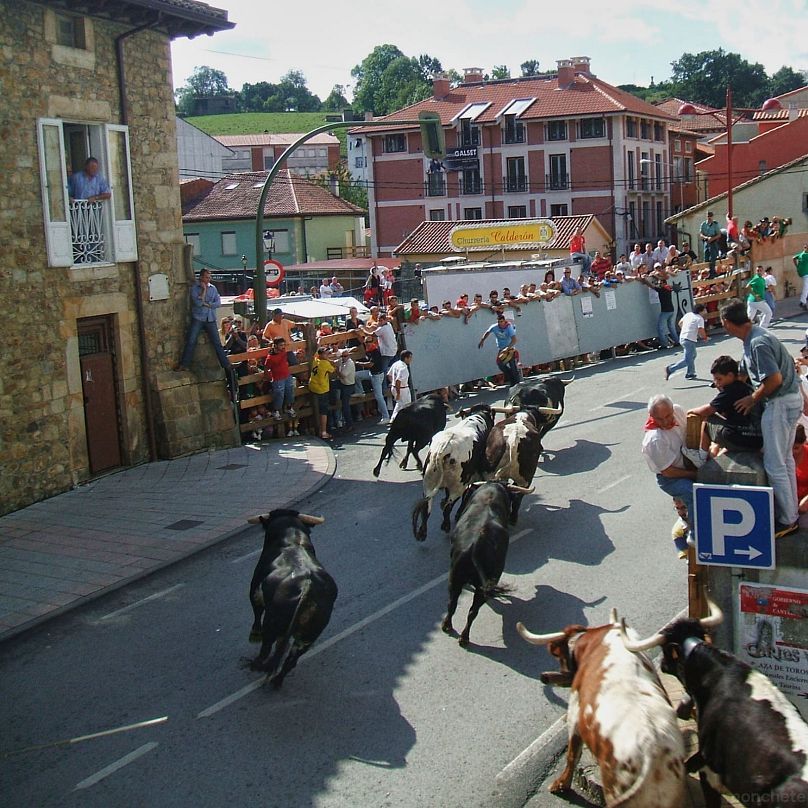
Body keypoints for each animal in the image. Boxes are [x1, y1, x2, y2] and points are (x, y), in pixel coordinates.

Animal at [245, 512, 336, 688]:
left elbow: (256, 613)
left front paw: (254, 635)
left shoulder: (254, 590)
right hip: (308, 636)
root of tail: (307, 585)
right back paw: (276, 681)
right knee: (290, 660)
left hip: (272, 623)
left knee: (268, 647)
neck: (293, 539)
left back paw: (257, 664)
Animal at [414, 404, 496, 544]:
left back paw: (422, 533)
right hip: (457, 485)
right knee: (448, 505)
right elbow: (467, 495)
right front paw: (459, 513)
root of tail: (443, 448)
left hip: (429, 484)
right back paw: (446, 525)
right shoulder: (471, 478)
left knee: (427, 507)